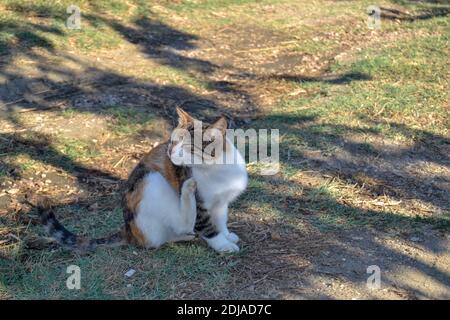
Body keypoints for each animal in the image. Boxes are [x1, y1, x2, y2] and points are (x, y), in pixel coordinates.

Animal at [37, 107, 250, 252]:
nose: (170, 152)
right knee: (176, 224)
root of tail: (128, 231)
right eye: (172, 141)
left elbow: (220, 220)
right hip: (151, 180)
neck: (215, 167)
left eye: (187, 147)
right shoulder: (202, 205)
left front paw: (226, 235)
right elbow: (207, 226)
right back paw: (187, 191)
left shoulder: (221, 203)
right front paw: (222, 244)